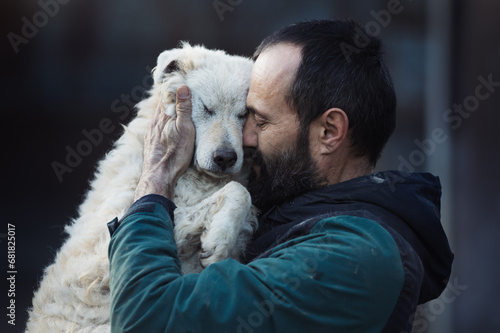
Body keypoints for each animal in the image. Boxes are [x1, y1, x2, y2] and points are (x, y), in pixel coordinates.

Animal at [28, 42, 258, 330]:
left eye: (244, 114)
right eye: (206, 108)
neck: (195, 177)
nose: (225, 158)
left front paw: (220, 239)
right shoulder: (97, 260)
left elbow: (240, 194)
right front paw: (217, 242)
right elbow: (237, 192)